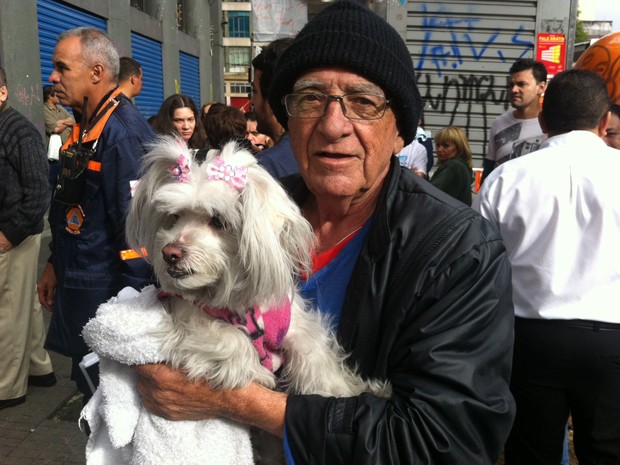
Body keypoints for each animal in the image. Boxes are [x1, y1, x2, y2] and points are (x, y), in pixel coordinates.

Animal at [78, 138, 388, 464]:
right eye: (173, 217)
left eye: (218, 221)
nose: (170, 253)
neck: (237, 303)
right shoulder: (187, 320)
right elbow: (231, 341)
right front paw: (256, 369)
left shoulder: (296, 328)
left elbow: (319, 364)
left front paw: (353, 393)